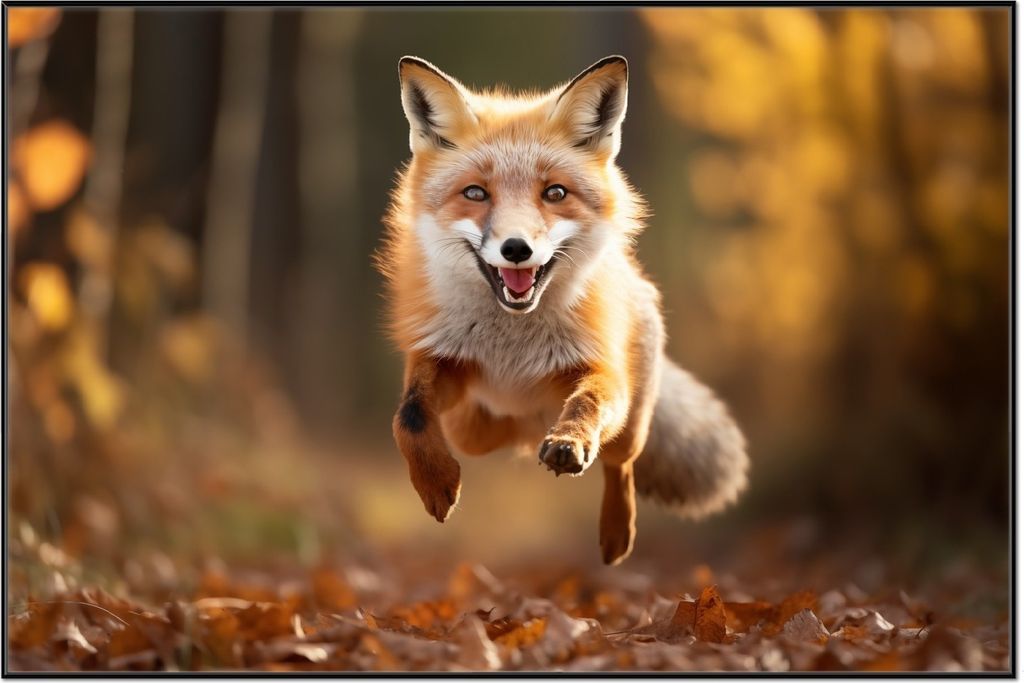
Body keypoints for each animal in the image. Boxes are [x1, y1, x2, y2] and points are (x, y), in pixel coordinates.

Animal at [378, 55, 749, 565]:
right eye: (475, 193)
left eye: (554, 193)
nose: (516, 248)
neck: (513, 346)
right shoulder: (441, 360)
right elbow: (409, 417)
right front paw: (435, 483)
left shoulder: (600, 369)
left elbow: (587, 404)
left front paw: (569, 441)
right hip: (471, 428)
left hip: (632, 421)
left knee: (620, 463)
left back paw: (616, 534)